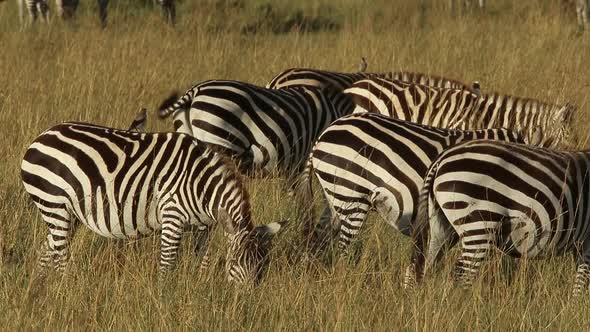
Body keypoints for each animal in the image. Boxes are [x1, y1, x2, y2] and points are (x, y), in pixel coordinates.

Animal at [20, 122, 284, 282]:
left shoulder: (205, 226)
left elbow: (204, 259)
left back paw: (41, 290)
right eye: (235, 261)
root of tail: (40, 137)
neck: (202, 187)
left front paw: (200, 287)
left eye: (262, 265)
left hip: (68, 213)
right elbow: (167, 265)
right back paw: (65, 289)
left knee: (46, 251)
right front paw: (165, 298)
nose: (245, 300)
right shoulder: (172, 217)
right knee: (60, 257)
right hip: (54, 204)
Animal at [410, 138, 590, 296]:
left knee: (426, 264)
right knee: (462, 275)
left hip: (441, 225)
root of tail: (442, 158)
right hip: (479, 226)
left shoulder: (582, 245)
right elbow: (582, 283)